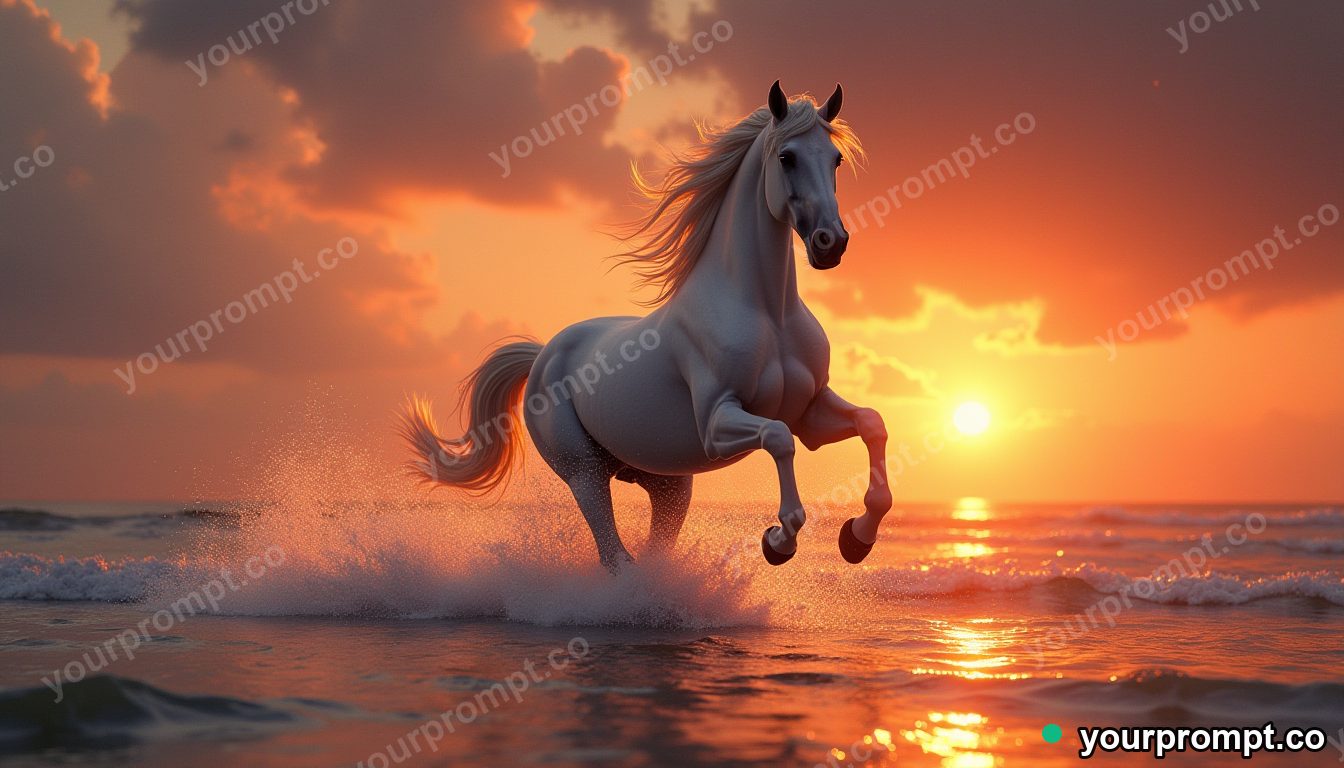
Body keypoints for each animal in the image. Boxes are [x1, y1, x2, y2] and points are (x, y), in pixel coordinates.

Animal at [401, 81, 892, 571]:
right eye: (787, 157)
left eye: (836, 158)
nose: (831, 243)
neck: (769, 315)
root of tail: (543, 354)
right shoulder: (718, 423)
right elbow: (777, 437)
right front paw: (778, 540)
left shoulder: (809, 412)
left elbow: (871, 423)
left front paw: (856, 538)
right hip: (584, 472)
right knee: (615, 556)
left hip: (667, 482)